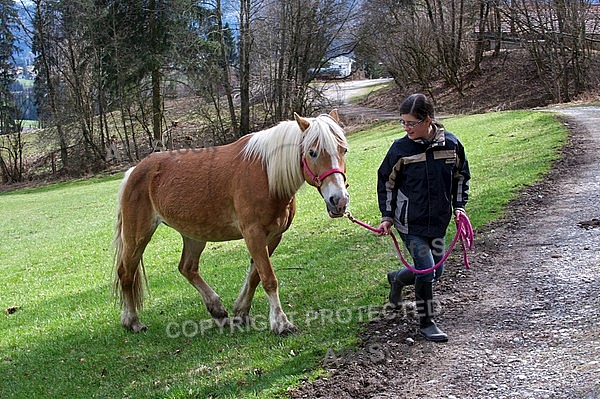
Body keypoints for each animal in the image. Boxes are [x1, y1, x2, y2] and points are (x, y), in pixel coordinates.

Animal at [112, 109, 350, 334]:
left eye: (344, 150)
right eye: (312, 152)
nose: (339, 200)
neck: (266, 175)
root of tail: (133, 171)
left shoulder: (273, 236)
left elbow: (255, 276)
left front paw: (241, 312)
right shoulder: (253, 234)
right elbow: (268, 278)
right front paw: (281, 323)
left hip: (194, 235)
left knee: (187, 268)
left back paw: (217, 310)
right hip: (138, 236)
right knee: (126, 273)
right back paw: (132, 321)